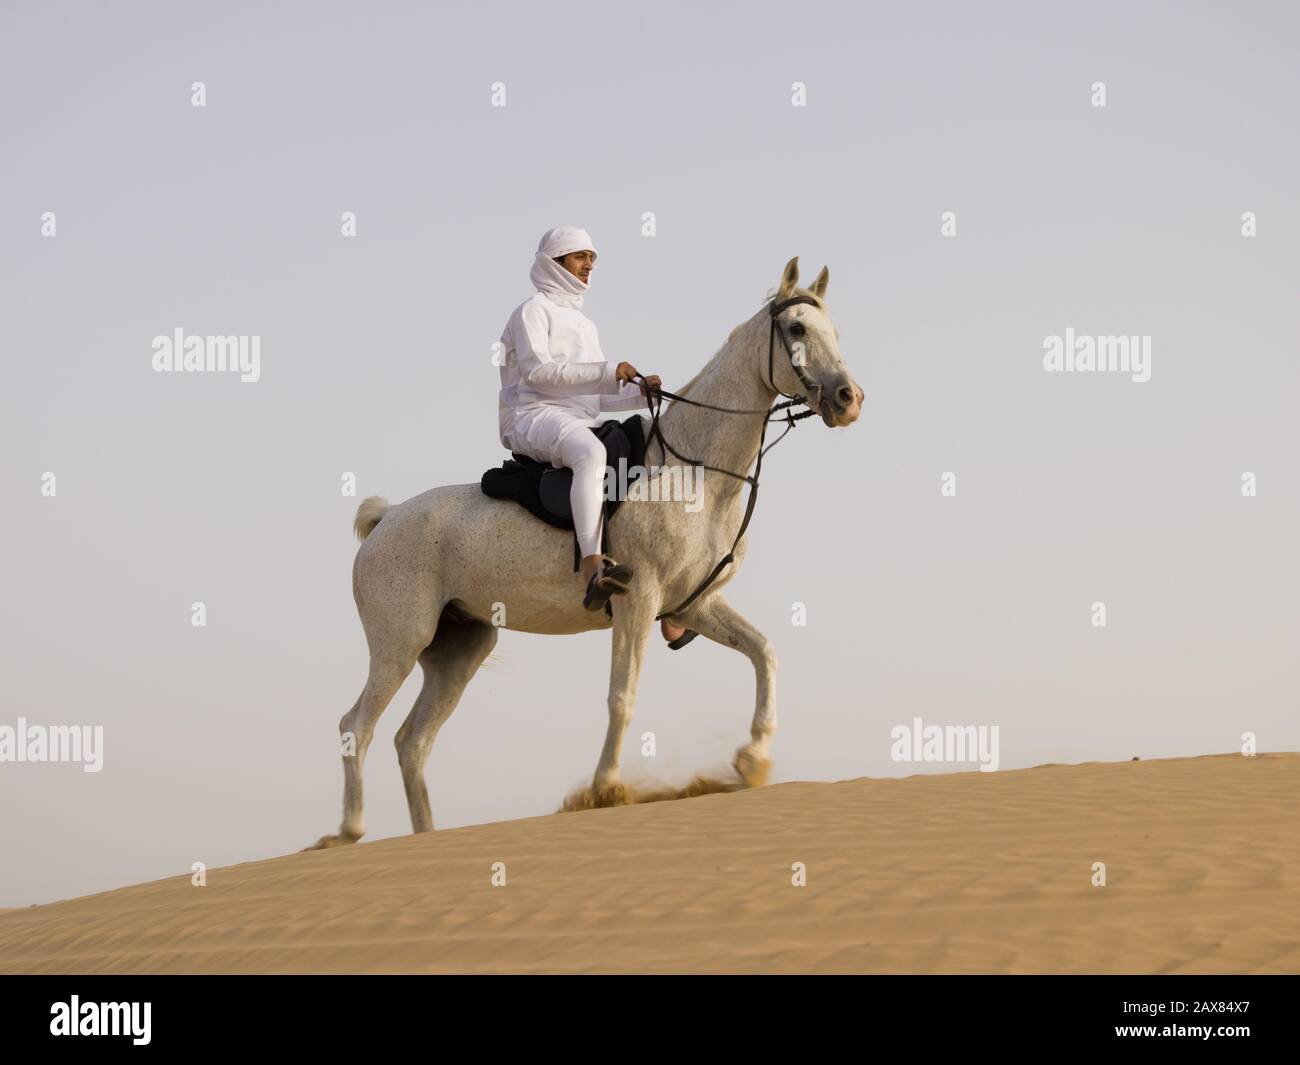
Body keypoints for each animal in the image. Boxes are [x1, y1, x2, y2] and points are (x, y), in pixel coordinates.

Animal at [308, 256, 863, 849]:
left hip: (459, 650)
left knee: (412, 741)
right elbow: (623, 695)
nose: (849, 399)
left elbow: (764, 652)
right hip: (400, 643)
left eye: (834, 331)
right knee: (357, 726)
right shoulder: (637, 601)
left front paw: (753, 758)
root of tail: (386, 519)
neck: (697, 473)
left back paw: (425, 836)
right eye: (798, 329)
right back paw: (349, 829)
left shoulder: (694, 606)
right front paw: (606, 789)